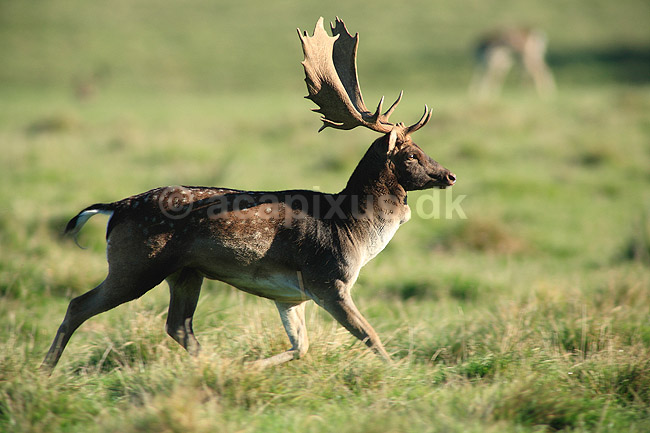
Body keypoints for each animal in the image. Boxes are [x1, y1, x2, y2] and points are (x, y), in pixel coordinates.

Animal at [41, 17, 456, 372]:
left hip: (185, 272)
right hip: (136, 263)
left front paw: (252, 368)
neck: (354, 231)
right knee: (79, 304)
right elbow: (370, 336)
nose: (450, 175)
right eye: (412, 154)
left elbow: (300, 347)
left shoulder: (290, 295)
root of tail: (114, 208)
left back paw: (216, 366)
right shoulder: (328, 280)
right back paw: (45, 370)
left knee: (179, 326)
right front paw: (401, 373)